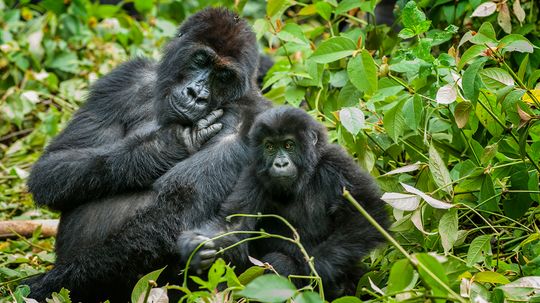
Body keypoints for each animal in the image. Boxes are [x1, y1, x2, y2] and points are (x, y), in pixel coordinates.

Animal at [24, 8, 270, 302]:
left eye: (223, 76)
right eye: (201, 59)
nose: (196, 94)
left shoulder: (250, 118)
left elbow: (177, 210)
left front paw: (47, 284)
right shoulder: (124, 79)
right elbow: (51, 167)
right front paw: (165, 146)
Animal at [180, 107, 388, 300]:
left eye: (289, 145)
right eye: (270, 146)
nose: (280, 164)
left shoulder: (336, 163)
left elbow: (367, 213)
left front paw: (316, 268)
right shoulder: (253, 174)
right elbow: (233, 225)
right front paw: (193, 246)